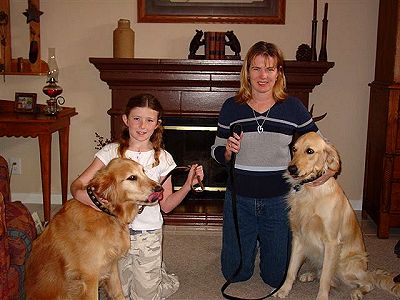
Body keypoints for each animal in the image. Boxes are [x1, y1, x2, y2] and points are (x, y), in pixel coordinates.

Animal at [25, 158, 162, 298]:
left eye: (143, 171)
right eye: (132, 177)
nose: (160, 188)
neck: (106, 212)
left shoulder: (111, 266)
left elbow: (118, 293)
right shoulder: (90, 277)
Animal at [276, 132, 400, 298]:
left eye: (310, 151)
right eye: (294, 149)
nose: (291, 169)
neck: (310, 190)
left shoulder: (332, 242)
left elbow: (325, 277)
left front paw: (322, 297)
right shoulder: (298, 237)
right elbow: (291, 269)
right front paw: (284, 290)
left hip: (344, 267)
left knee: (368, 282)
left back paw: (357, 292)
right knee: (320, 270)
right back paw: (309, 275)